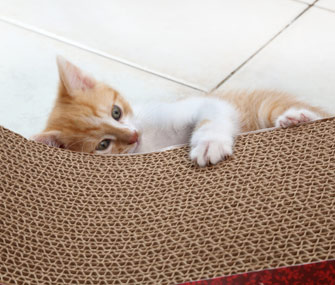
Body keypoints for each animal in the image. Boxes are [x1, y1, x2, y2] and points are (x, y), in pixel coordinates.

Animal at [32, 56, 330, 165]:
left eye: (116, 112)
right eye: (103, 144)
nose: (133, 136)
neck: (149, 140)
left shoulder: (202, 104)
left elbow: (212, 114)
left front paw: (209, 144)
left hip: (266, 107)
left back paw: (296, 117)